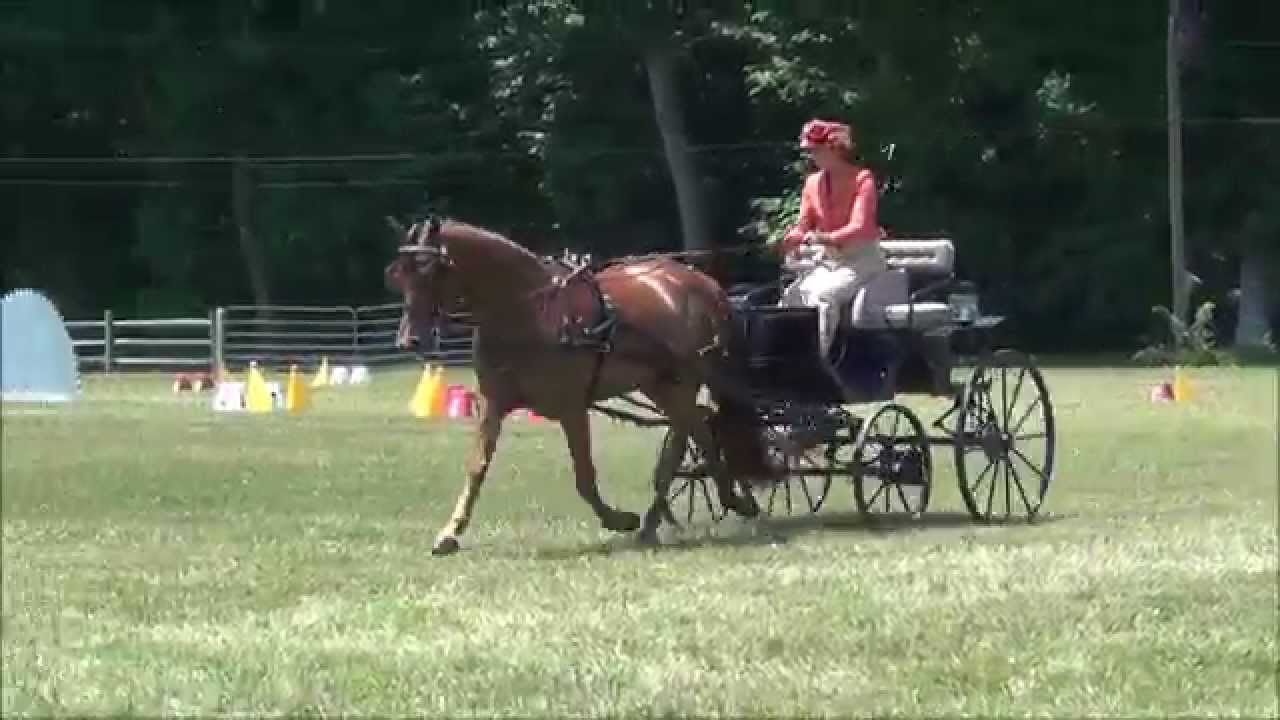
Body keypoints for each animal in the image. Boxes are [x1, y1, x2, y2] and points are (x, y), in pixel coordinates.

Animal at [384, 213, 773, 556]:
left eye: (431, 269)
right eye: (399, 275)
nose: (409, 341)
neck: (528, 314)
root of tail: (703, 283)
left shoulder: (572, 407)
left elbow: (584, 476)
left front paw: (620, 519)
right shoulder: (493, 402)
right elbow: (477, 466)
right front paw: (449, 533)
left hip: (683, 380)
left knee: (695, 431)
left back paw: (721, 503)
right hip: (661, 384)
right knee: (695, 430)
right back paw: (685, 512)